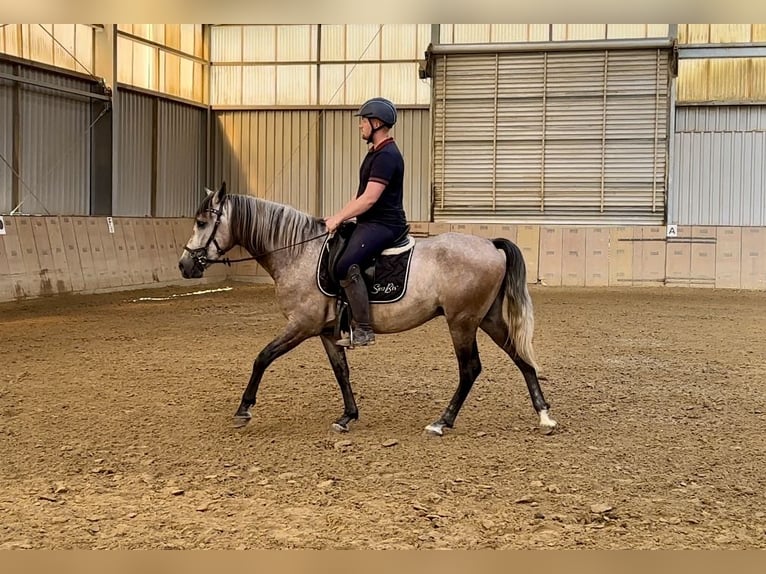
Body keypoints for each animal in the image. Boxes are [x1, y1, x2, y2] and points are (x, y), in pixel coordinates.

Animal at [177, 183, 556, 436]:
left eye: (201, 222)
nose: (184, 265)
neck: (298, 253)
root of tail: (490, 243)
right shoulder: (325, 332)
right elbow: (341, 371)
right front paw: (348, 416)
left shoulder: (301, 325)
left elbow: (262, 358)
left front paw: (244, 409)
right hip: (487, 319)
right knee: (521, 357)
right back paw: (544, 415)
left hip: (461, 322)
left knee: (470, 369)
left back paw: (442, 422)